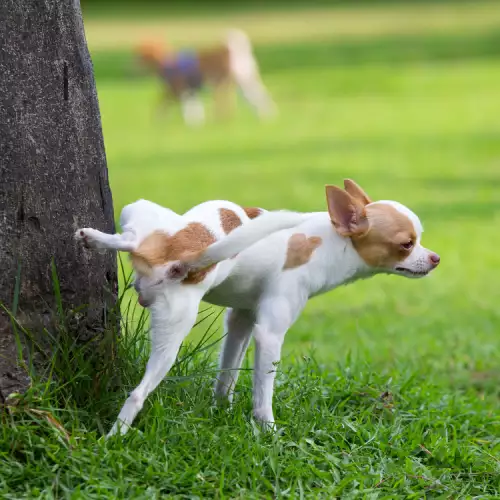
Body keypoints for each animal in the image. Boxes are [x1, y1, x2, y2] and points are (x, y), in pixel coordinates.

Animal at [76, 181, 440, 438]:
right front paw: (267, 432)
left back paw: (95, 238)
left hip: (143, 221)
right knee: (138, 394)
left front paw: (220, 410)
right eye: (406, 244)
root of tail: (183, 255)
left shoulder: (241, 320)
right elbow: (263, 393)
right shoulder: (269, 333)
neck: (330, 240)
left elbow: (227, 374)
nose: (435, 258)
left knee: (133, 238)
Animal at [136, 29, 278, 126]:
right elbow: (180, 107)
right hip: (243, 82)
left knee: (229, 103)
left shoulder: (179, 90)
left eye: (140, 53)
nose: (134, 64)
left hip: (223, 83)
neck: (167, 62)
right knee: (257, 97)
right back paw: (265, 116)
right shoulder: (184, 91)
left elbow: (175, 107)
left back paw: (223, 120)